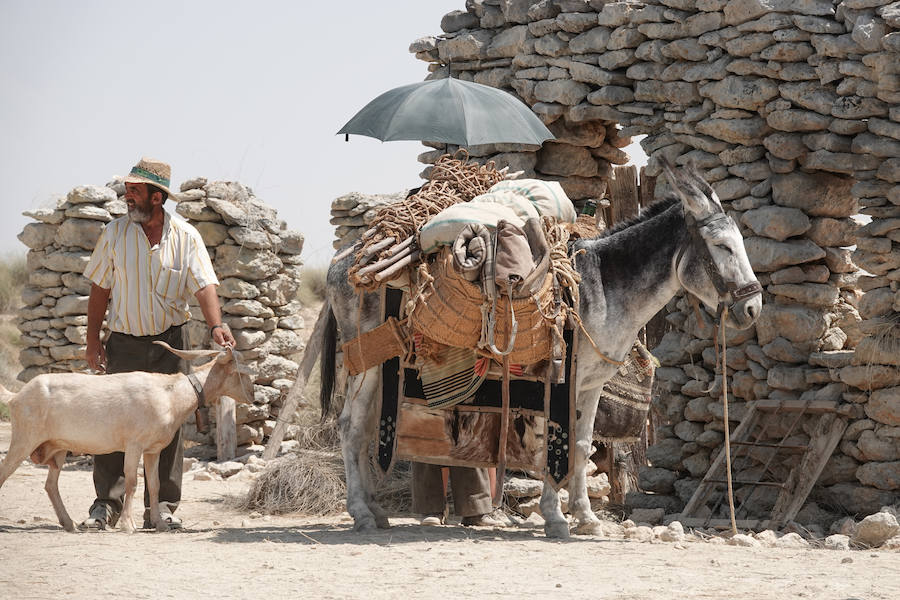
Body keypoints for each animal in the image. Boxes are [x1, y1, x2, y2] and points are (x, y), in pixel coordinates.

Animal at [0, 342, 253, 536]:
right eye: (240, 372)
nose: (253, 396)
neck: (171, 395)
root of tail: (15, 397)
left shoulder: (153, 450)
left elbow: (155, 484)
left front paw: (160, 524)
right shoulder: (134, 444)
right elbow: (132, 482)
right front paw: (128, 525)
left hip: (58, 448)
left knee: (50, 485)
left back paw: (70, 524)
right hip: (24, 438)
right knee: (5, 472)